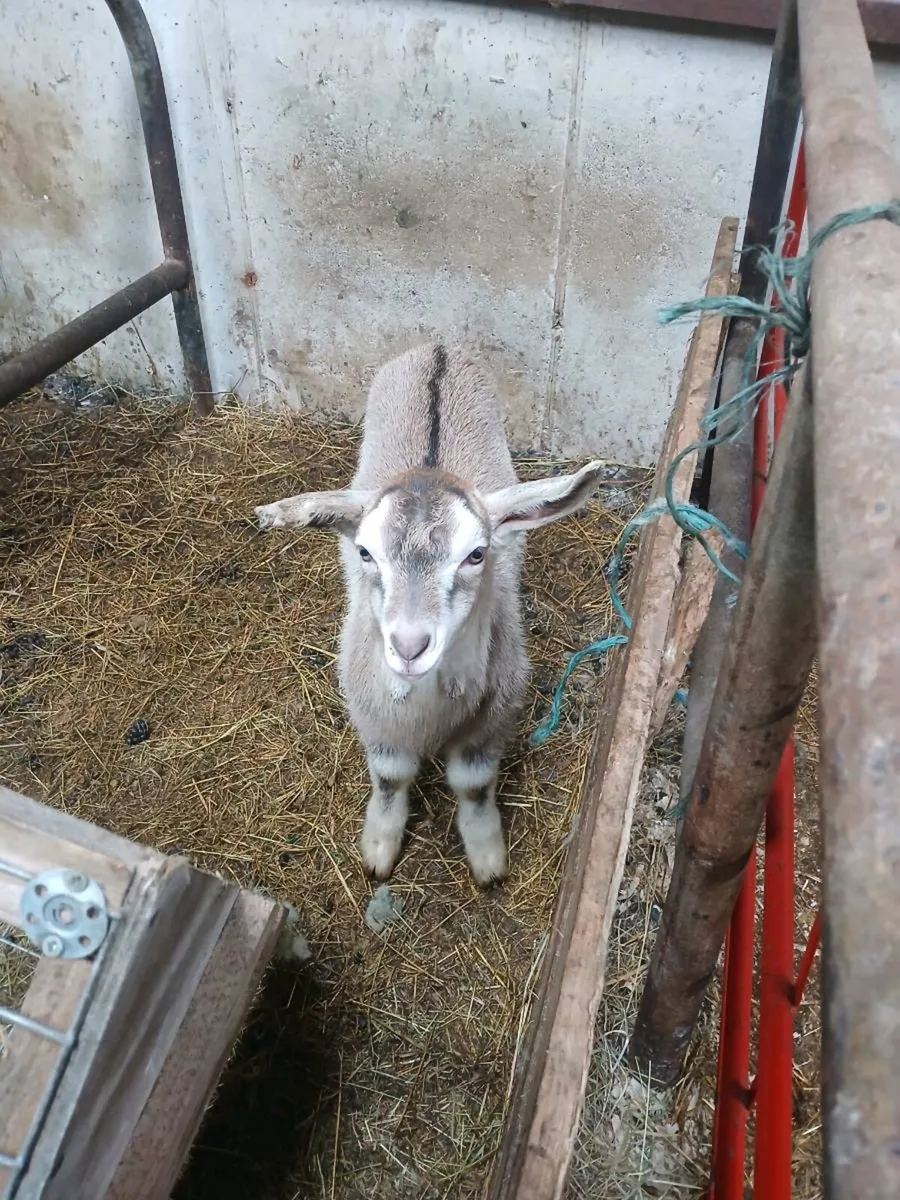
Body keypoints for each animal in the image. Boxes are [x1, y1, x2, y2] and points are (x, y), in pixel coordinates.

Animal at [255, 343, 604, 886]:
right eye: (364, 553)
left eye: (477, 554)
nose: (409, 646)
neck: (429, 714)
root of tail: (438, 348)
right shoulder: (375, 720)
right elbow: (391, 779)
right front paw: (379, 848)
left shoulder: (492, 722)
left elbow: (473, 785)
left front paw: (487, 858)